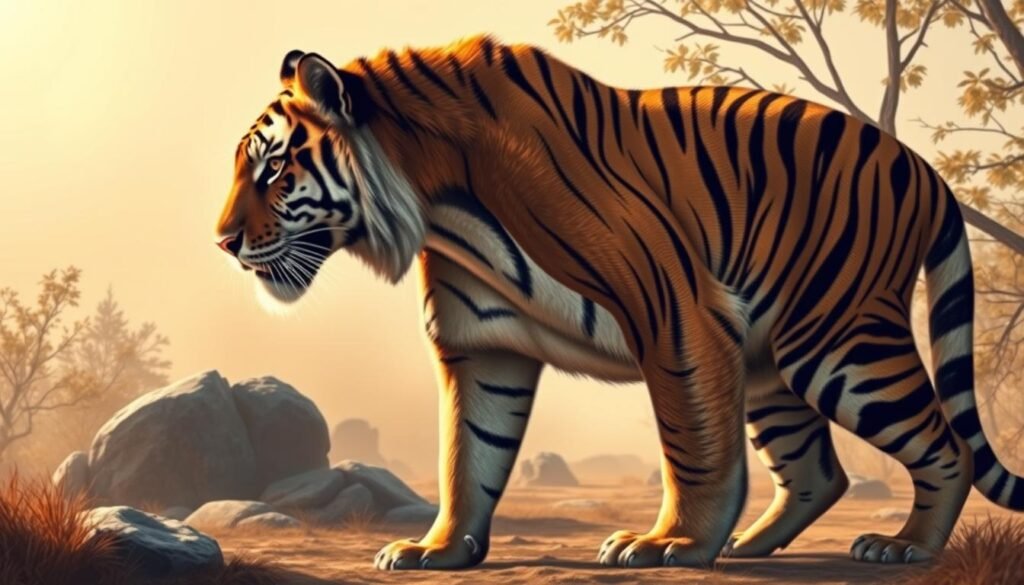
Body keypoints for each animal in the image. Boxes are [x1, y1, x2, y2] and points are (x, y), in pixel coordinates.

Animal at [214, 35, 1024, 570]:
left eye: (273, 170)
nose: (222, 241)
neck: (435, 199)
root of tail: (924, 171)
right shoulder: (482, 344)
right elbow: (467, 454)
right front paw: (437, 548)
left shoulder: (678, 315)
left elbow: (692, 446)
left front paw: (671, 543)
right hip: (771, 363)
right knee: (819, 471)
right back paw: (749, 545)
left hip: (837, 341)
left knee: (945, 446)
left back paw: (904, 546)